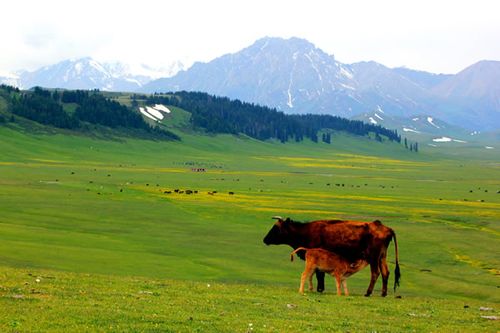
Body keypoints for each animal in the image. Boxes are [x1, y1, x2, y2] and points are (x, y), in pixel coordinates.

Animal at [264, 215, 400, 296]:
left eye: (276, 228)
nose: (265, 239)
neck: (305, 231)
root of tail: (386, 228)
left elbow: (319, 274)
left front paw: (319, 289)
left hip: (373, 258)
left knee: (375, 273)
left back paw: (368, 292)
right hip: (382, 257)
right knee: (385, 273)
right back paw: (383, 293)